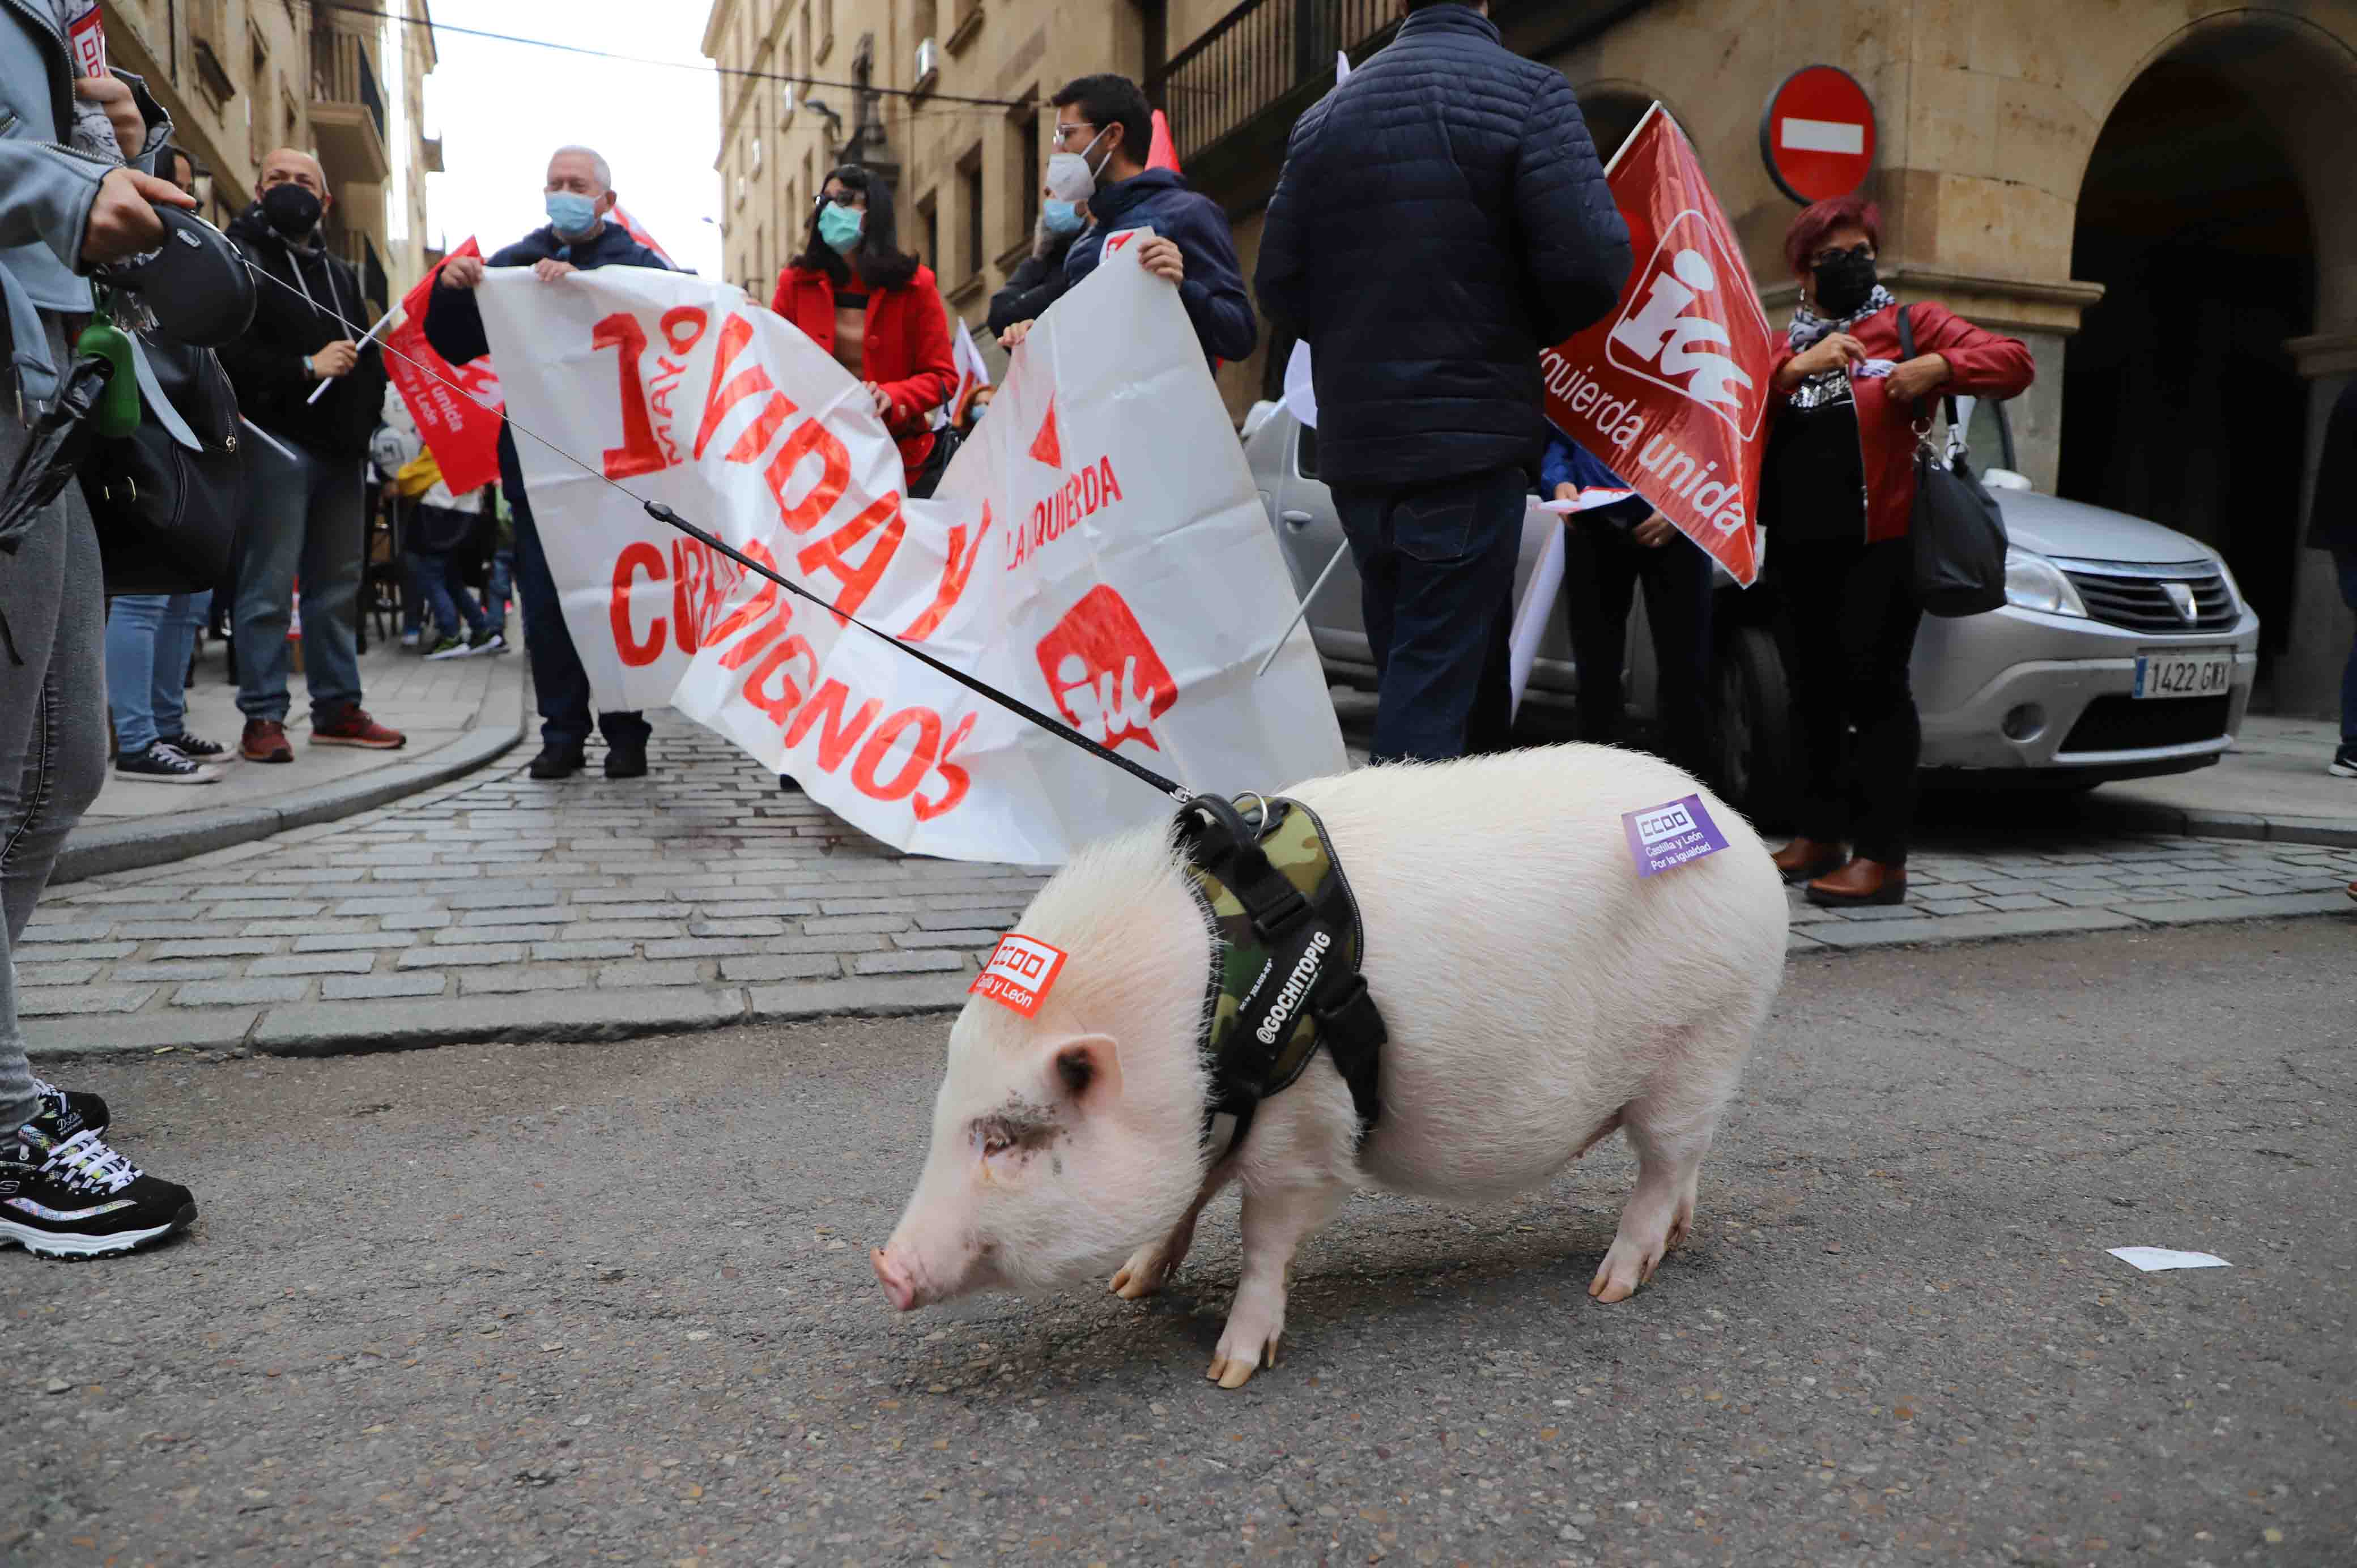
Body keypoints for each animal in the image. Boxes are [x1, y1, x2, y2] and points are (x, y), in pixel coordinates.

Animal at [881, 745, 1781, 1386]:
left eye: (1004, 1138)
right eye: (942, 1116)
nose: (884, 1266)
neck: (1188, 1038)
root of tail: (1743, 838)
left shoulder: (1302, 1130)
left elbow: (1263, 1239)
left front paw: (1230, 1370)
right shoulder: (1224, 1117)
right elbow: (1187, 1202)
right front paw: (1130, 1287)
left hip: (1700, 1044)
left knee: (1660, 1169)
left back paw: (1611, 1285)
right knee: (1685, 1165)